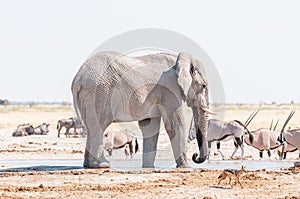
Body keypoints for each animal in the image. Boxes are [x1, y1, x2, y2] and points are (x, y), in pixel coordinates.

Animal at [71, 51, 210, 168]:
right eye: (203, 86)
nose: (195, 156)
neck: (180, 60)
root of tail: (79, 78)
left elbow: (150, 126)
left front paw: (148, 167)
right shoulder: (169, 90)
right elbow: (175, 125)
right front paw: (186, 167)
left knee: (91, 127)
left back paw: (89, 165)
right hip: (99, 92)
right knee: (98, 126)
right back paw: (102, 165)